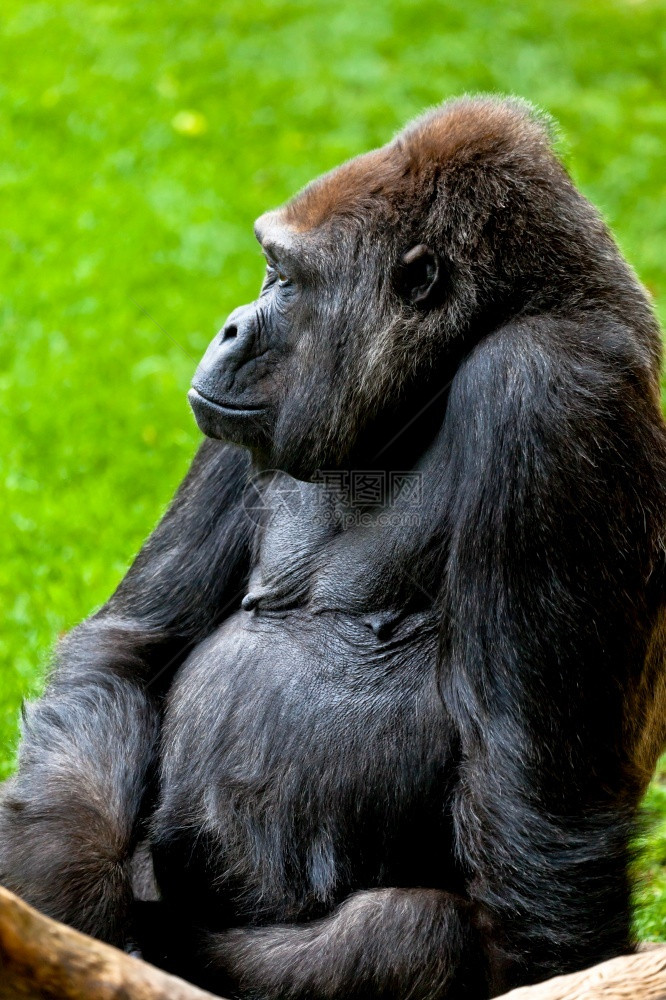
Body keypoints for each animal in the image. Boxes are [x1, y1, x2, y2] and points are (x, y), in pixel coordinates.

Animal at [1, 95, 664, 1000]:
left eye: (285, 275)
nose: (229, 328)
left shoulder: (553, 390)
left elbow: (539, 805)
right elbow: (129, 648)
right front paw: (64, 892)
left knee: (409, 932)